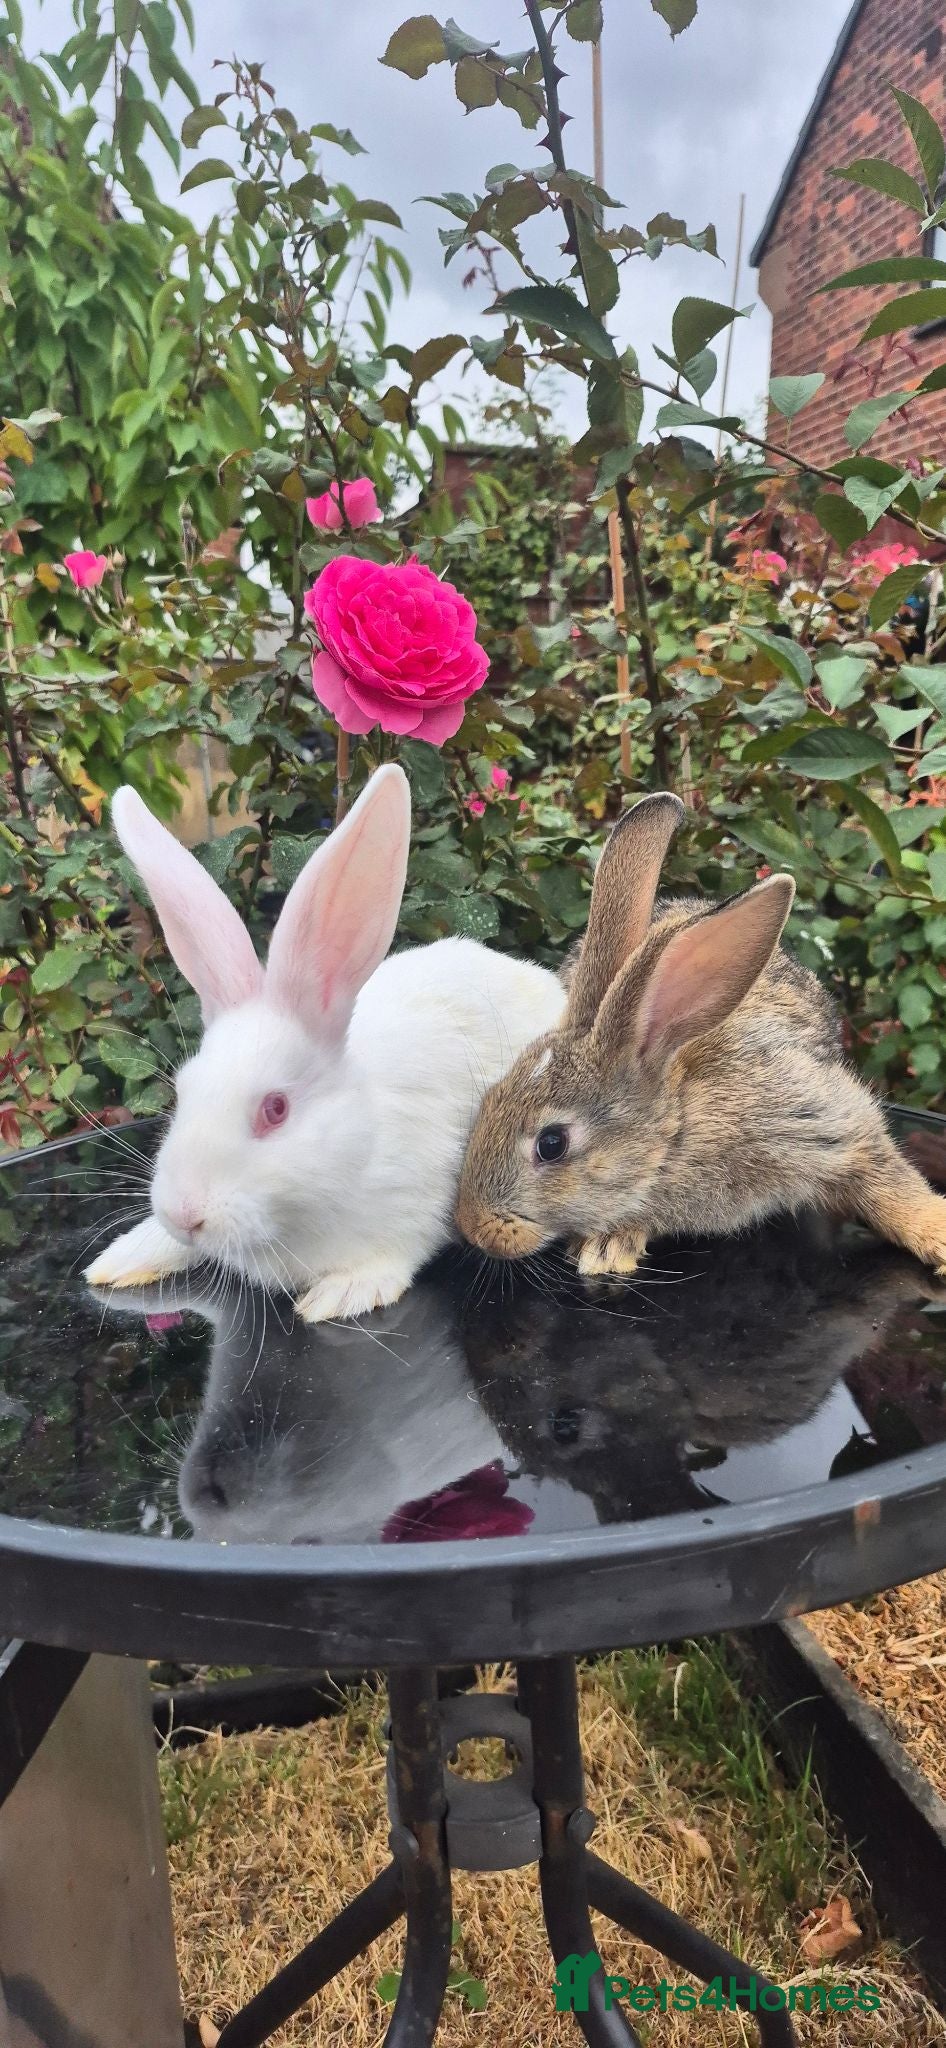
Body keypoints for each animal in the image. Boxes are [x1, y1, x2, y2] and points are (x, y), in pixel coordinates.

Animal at [84, 765, 567, 1323]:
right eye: (182, 1093)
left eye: (275, 1109)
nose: (184, 1214)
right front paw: (122, 1258)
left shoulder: (421, 1200)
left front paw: (342, 1293)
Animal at [455, 789, 946, 1283]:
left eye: (551, 1144)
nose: (473, 1228)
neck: (677, 1129)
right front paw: (608, 1245)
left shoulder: (825, 1121)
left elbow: (886, 1179)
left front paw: (936, 1232)